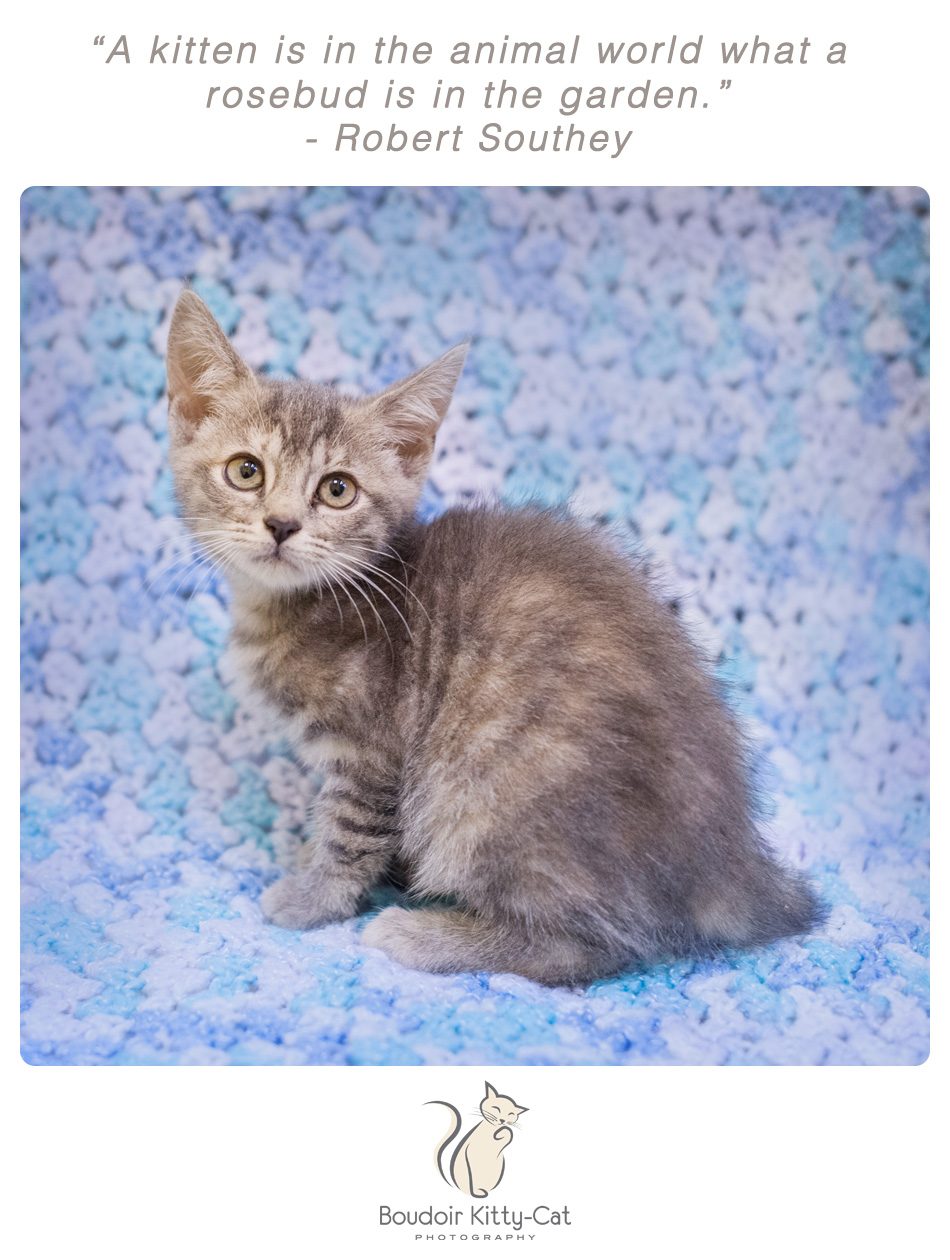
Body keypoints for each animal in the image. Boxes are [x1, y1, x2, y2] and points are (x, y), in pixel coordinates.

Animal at [165, 289, 821, 987]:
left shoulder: (372, 747)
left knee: (588, 947)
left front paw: (310, 900)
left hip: (483, 793)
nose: (282, 524)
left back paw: (425, 935)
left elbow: (348, 834)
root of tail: (732, 866)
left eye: (337, 489)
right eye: (246, 471)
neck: (295, 602)